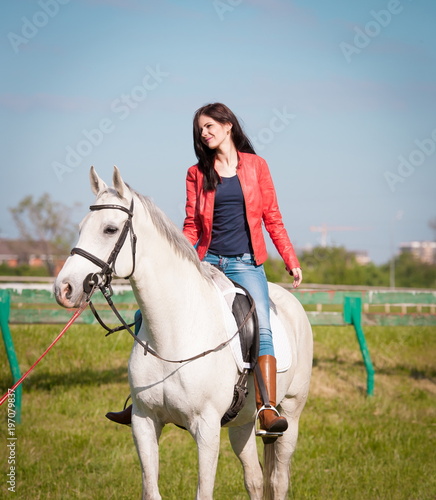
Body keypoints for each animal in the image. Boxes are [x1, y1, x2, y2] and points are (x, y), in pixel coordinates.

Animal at [55, 168, 314, 500]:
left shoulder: (206, 428)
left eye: (110, 229)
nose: (64, 289)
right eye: (80, 228)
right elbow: (151, 490)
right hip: (242, 424)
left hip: (290, 414)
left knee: (278, 480)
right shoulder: (144, 421)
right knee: (255, 480)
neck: (174, 333)